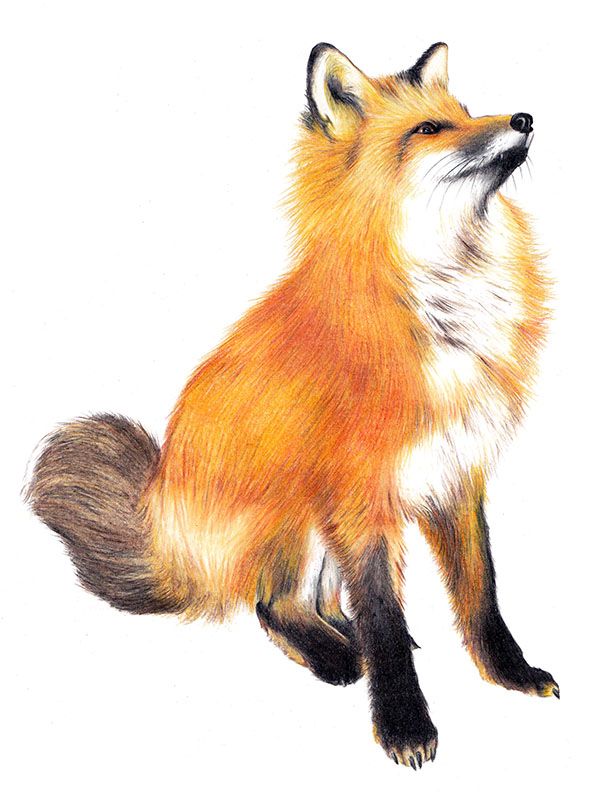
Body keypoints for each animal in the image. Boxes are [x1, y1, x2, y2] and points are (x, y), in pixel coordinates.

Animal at [27, 42, 558, 769]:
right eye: (430, 129)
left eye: (467, 111)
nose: (526, 118)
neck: (444, 307)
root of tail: (165, 533)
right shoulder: (361, 493)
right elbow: (383, 622)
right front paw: (404, 725)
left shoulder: (455, 472)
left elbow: (481, 596)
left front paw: (510, 673)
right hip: (291, 513)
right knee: (271, 605)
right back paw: (336, 656)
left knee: (319, 601)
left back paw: (345, 634)